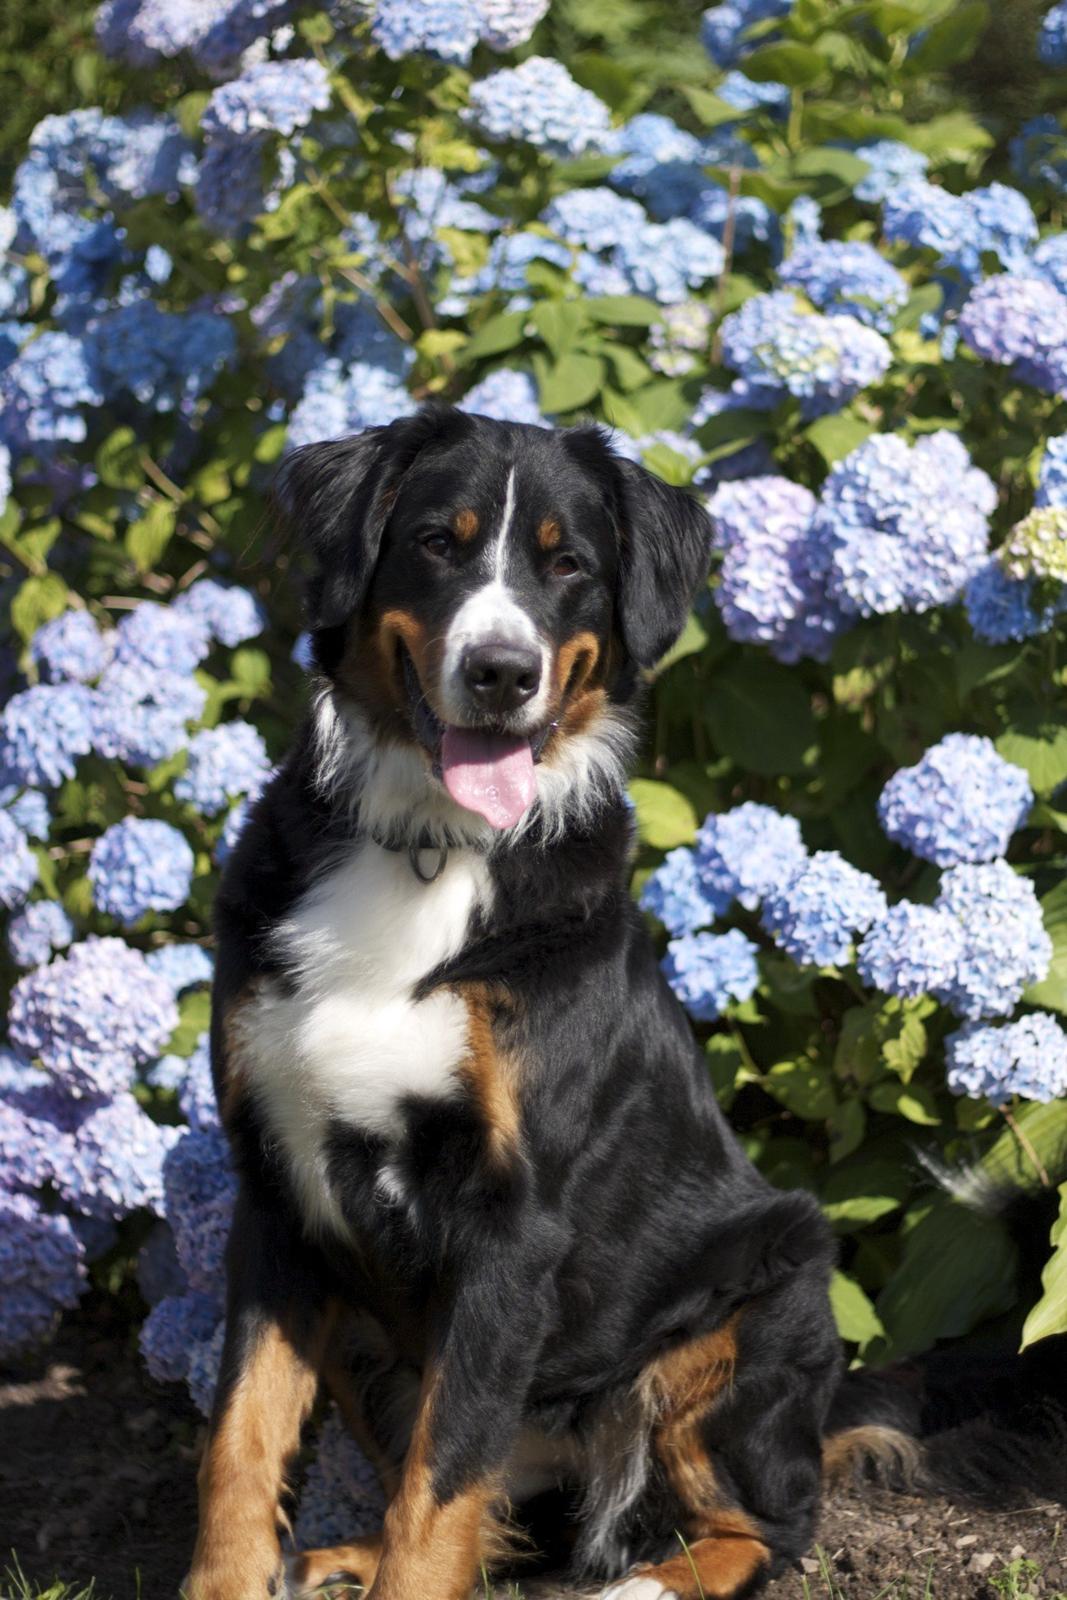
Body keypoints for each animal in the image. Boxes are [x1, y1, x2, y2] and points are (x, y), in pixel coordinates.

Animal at [187, 403, 844, 1600]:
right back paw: (337, 1562)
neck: (426, 851)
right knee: (500, 1522)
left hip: (757, 1300)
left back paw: (646, 1582)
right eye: (436, 542)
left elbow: (442, 1481)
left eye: (567, 564)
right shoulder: (278, 1191)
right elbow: (243, 1441)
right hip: (368, 1335)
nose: (500, 672)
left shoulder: (510, 1222)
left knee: (767, 1524)